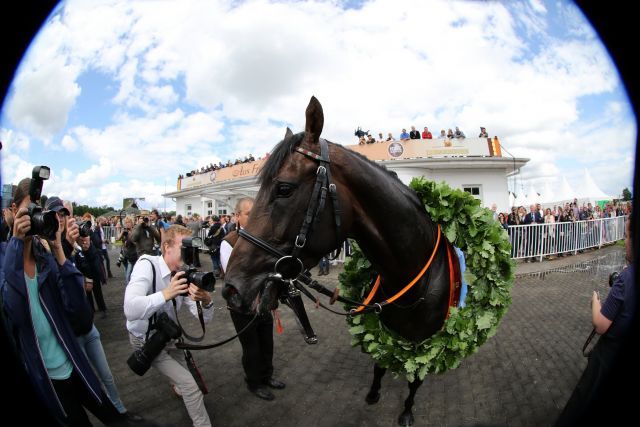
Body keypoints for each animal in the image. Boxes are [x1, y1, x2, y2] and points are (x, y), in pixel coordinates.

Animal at [224, 95, 460, 426]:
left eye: (284, 188)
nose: (231, 288)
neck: (415, 278)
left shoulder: (424, 342)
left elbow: (415, 377)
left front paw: (406, 411)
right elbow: (380, 362)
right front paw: (373, 393)